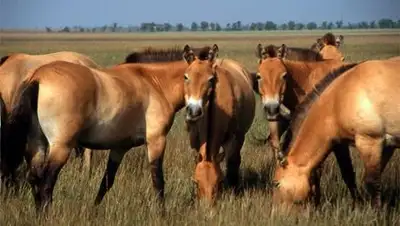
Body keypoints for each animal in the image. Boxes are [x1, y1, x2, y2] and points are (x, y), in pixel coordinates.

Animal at [182, 44, 255, 203]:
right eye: (186, 77)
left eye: (211, 79)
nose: (194, 111)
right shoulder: (195, 139)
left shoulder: (233, 139)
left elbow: (231, 162)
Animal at [274, 59, 400, 208]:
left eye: (276, 184)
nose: (275, 212)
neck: (339, 97)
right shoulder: (386, 146)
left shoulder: (370, 142)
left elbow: (371, 183)